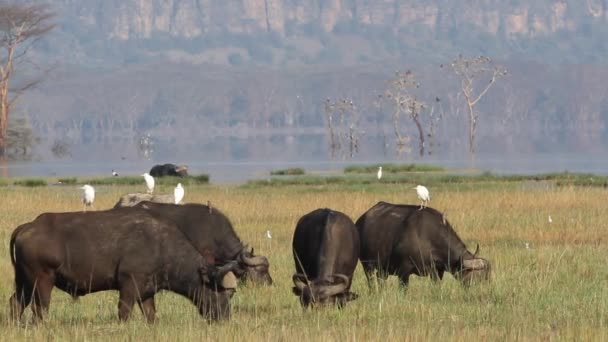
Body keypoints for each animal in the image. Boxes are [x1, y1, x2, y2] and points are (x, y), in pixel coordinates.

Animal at [9, 208, 239, 324]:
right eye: (222, 292)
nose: (225, 318)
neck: (162, 246)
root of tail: (29, 226)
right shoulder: (129, 285)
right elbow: (124, 312)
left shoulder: (147, 292)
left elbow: (150, 315)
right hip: (41, 282)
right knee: (40, 309)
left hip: (24, 282)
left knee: (16, 303)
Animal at [358, 202, 492, 290]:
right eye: (477, 276)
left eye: (487, 277)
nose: (483, 291)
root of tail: (361, 220)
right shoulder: (403, 271)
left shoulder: (437, 271)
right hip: (367, 265)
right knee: (371, 281)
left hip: (382, 269)